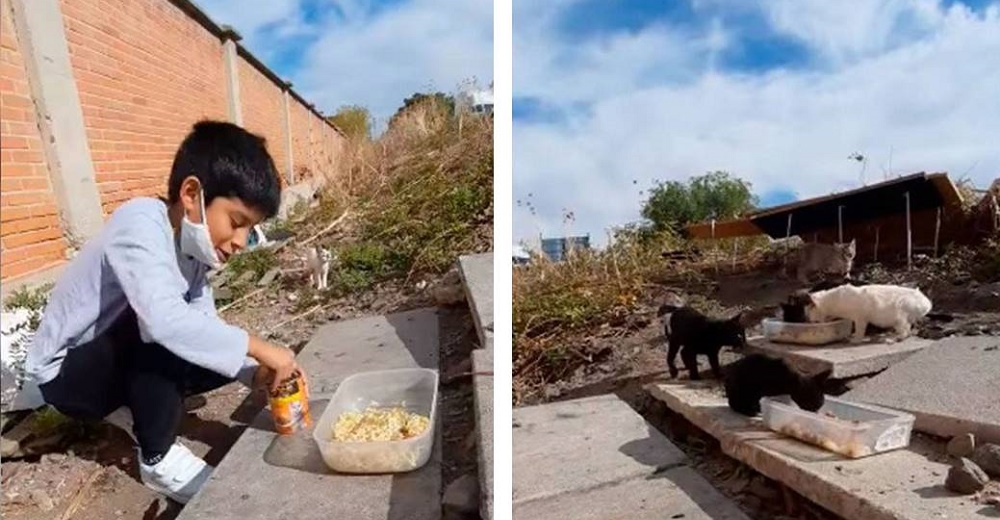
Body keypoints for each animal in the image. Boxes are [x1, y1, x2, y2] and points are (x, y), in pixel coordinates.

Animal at [800, 284, 932, 342]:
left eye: (808, 317)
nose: (807, 321)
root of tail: (927, 302)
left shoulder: (860, 318)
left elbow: (859, 330)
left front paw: (855, 339)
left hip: (900, 313)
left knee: (906, 331)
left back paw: (895, 338)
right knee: (909, 329)